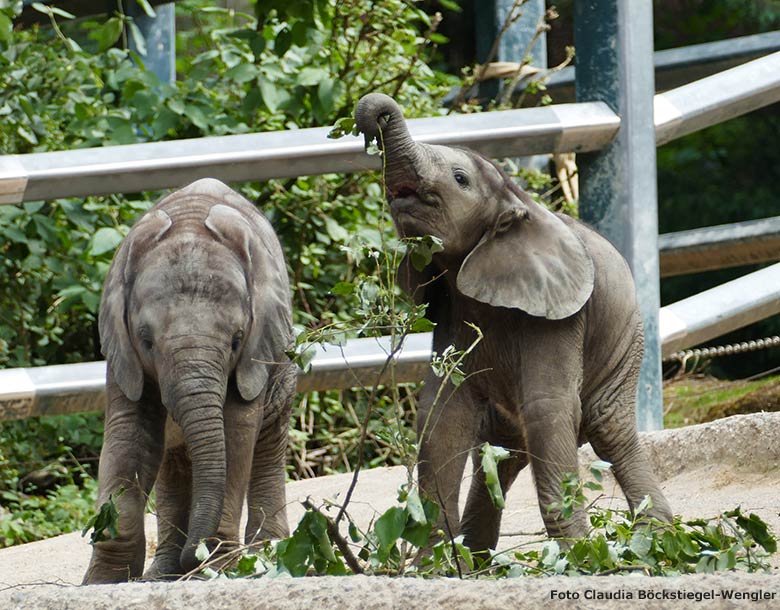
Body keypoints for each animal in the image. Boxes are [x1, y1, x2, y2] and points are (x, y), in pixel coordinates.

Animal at [82, 177, 296, 580]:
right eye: (146, 340)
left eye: (236, 340)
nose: (190, 558)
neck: (189, 221)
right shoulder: (121, 352)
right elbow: (129, 437)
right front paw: (104, 581)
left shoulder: (254, 353)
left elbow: (236, 432)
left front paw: (216, 566)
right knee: (173, 464)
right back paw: (164, 572)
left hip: (284, 368)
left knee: (267, 445)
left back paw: (268, 556)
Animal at [354, 91, 672, 552]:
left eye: (460, 178)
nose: (376, 114)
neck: (514, 201)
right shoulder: (452, 308)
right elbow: (442, 414)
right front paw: (437, 562)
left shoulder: (558, 316)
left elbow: (548, 407)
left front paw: (582, 557)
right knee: (502, 454)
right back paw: (477, 554)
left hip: (628, 344)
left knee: (608, 430)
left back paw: (654, 541)